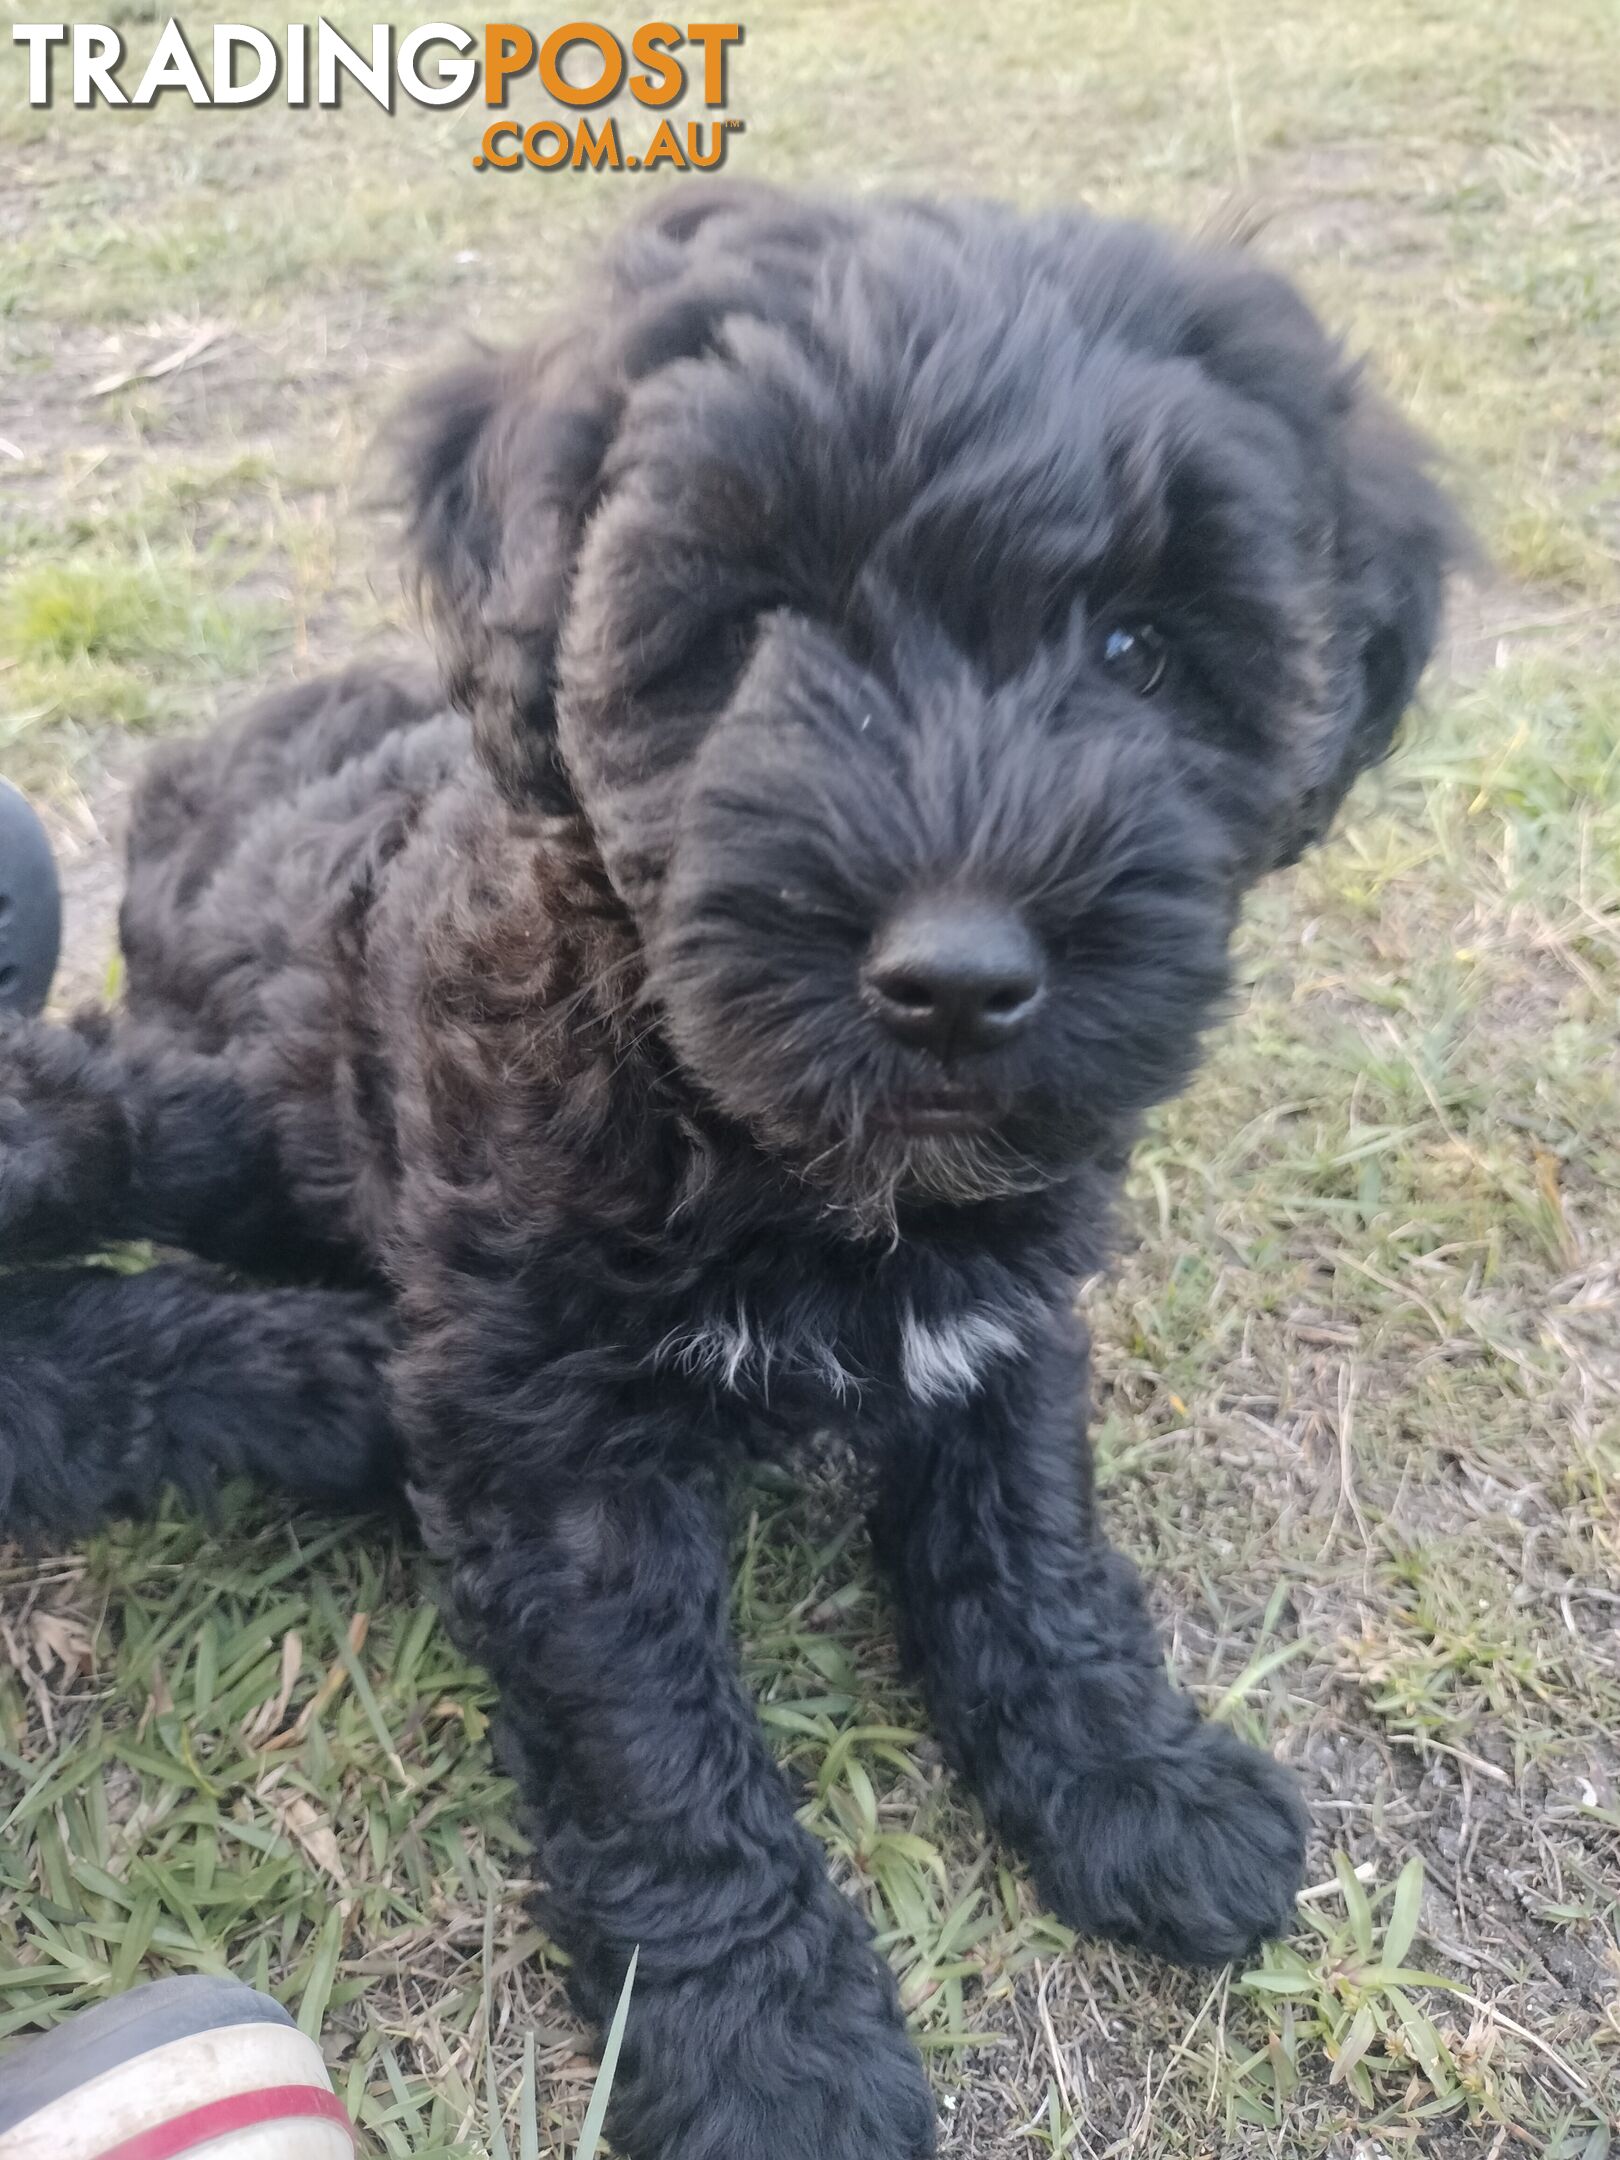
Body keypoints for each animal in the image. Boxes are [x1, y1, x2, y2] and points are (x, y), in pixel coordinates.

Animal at [0, 190, 1460, 2160]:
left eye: (1139, 652)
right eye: (758, 626)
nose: (955, 979)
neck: (771, 1148)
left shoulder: (1009, 1320)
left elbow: (1031, 1546)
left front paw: (1134, 1780)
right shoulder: (554, 1440)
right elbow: (654, 1739)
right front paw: (767, 2046)